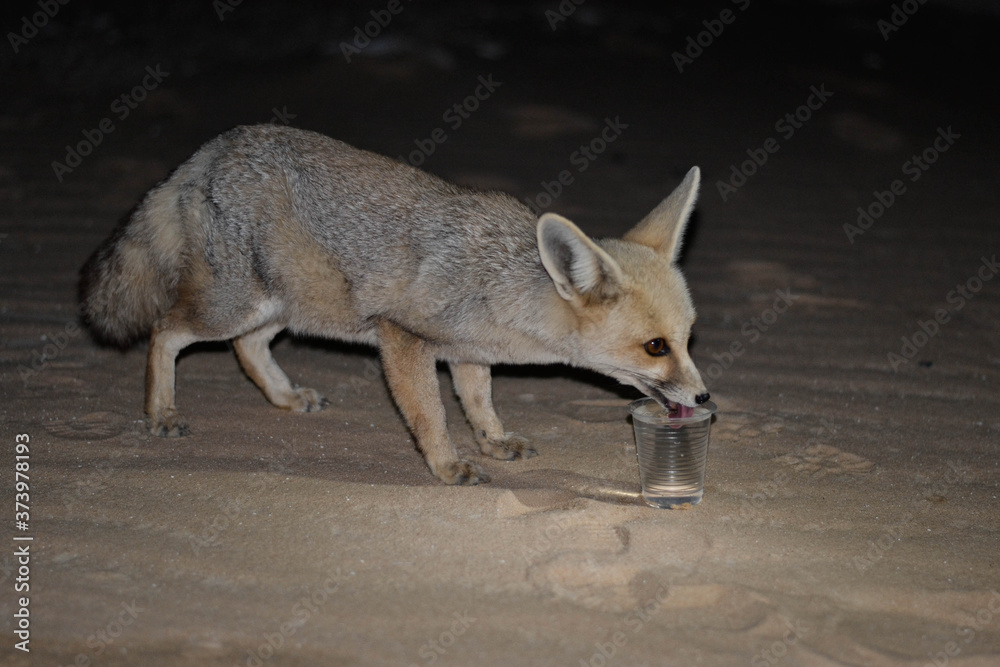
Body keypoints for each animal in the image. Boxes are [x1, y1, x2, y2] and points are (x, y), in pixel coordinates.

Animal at [81, 124, 709, 485]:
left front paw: (493, 441)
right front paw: (446, 465)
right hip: (233, 305)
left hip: (281, 307)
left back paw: (286, 396)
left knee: (246, 348)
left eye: (687, 340)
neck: (500, 282)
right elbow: (430, 414)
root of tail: (213, 148)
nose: (706, 398)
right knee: (165, 331)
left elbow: (478, 404)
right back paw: (161, 412)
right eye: (656, 347)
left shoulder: (468, 352)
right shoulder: (403, 338)